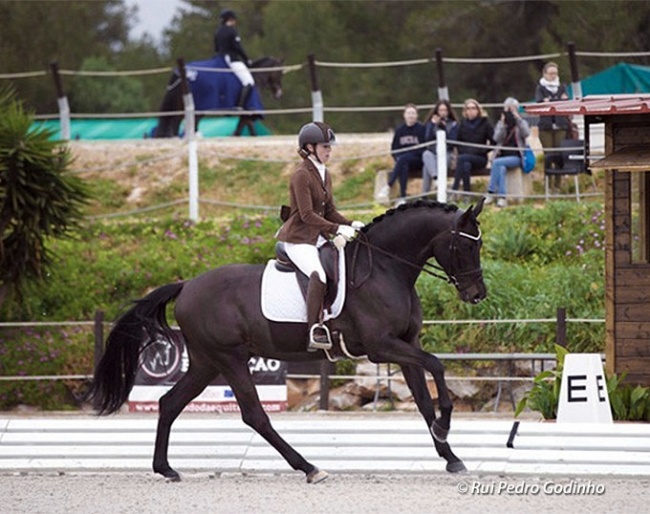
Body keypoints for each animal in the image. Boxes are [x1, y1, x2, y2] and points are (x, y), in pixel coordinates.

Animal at [86, 198, 484, 482]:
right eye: (465, 248)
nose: (477, 294)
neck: (386, 268)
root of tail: (186, 285)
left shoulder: (405, 344)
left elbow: (423, 401)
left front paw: (451, 456)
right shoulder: (381, 346)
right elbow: (437, 365)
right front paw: (445, 426)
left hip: (205, 362)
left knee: (169, 403)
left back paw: (165, 468)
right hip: (229, 359)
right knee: (254, 415)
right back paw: (309, 468)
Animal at [153, 55, 284, 138]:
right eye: (279, 72)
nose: (279, 93)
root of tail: (183, 74)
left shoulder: (246, 113)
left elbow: (247, 130)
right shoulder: (249, 110)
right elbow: (244, 129)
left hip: (182, 105)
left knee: (178, 123)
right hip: (198, 107)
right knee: (188, 124)